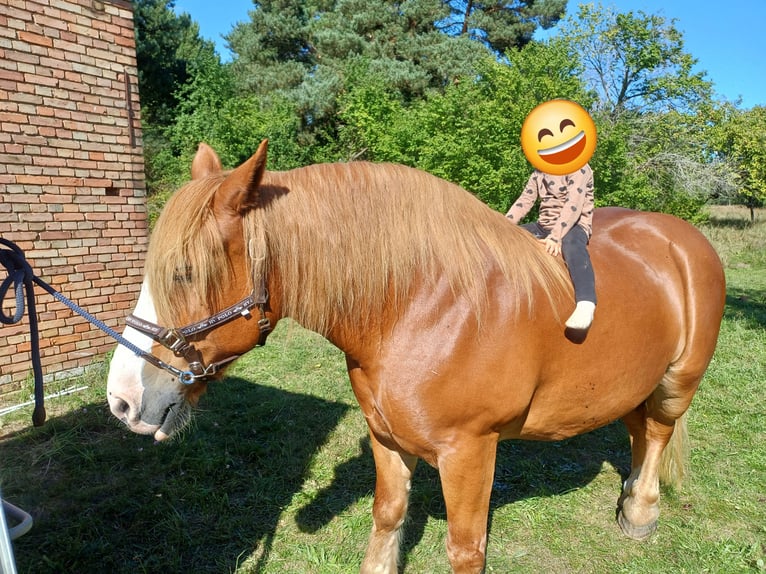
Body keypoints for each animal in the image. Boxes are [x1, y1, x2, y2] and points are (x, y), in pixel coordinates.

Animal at [106, 140, 726, 573]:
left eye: (185, 272)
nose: (122, 400)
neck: (421, 305)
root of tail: (680, 236)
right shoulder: (385, 436)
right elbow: (388, 515)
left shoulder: (470, 453)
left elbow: (466, 549)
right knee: (638, 430)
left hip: (678, 382)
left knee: (659, 432)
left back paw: (641, 510)